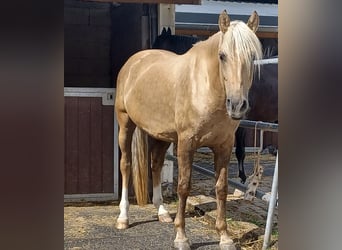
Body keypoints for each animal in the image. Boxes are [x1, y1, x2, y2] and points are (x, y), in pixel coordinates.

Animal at [115, 10, 262, 250]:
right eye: (222, 56)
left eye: (252, 56)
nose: (237, 105)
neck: (205, 87)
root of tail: (134, 61)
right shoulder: (186, 144)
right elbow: (183, 187)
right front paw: (181, 237)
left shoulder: (224, 146)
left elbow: (221, 188)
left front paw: (225, 237)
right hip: (125, 124)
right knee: (126, 165)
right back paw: (123, 218)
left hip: (161, 135)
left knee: (156, 165)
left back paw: (162, 212)